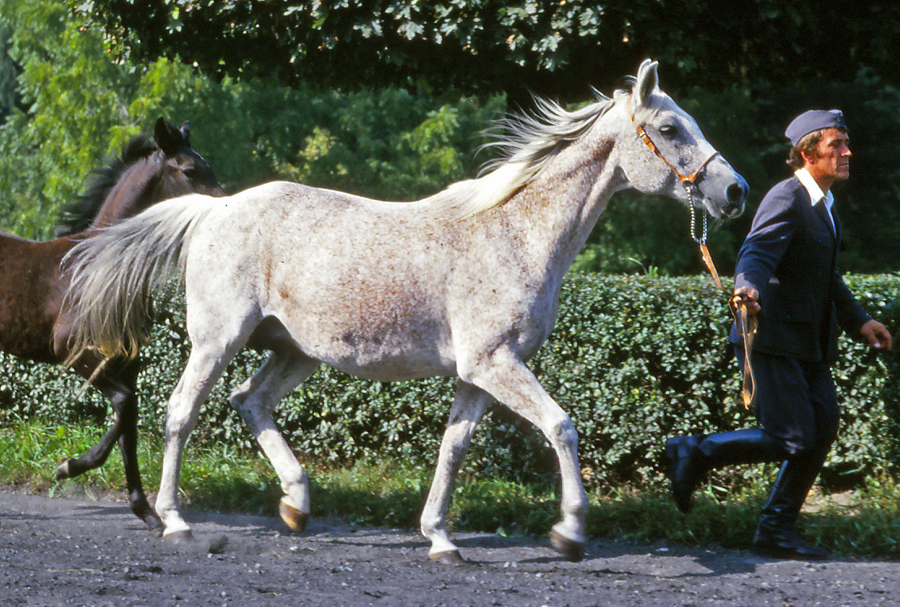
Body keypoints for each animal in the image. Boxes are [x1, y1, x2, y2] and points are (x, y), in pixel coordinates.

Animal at [0, 116, 223, 528]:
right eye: (189, 171)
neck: (103, 267)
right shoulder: (76, 353)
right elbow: (126, 406)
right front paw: (68, 467)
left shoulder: (126, 362)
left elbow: (127, 425)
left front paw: (145, 511)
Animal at [63, 61, 748, 564]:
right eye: (670, 129)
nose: (735, 190)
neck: (515, 233)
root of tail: (213, 210)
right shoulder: (496, 363)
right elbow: (561, 427)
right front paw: (570, 532)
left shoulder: (481, 374)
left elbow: (453, 448)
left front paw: (440, 538)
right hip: (217, 339)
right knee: (182, 411)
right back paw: (175, 522)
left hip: (294, 351)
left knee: (247, 401)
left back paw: (296, 505)